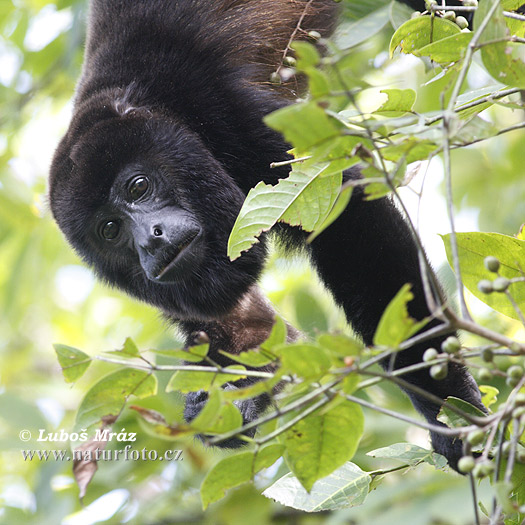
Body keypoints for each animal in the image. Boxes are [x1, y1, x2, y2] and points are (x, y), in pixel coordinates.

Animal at [48, 0, 484, 466]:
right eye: (110, 229)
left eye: (138, 186)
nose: (152, 239)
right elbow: (245, 321)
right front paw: (225, 400)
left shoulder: (235, 117)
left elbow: (352, 223)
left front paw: (451, 411)